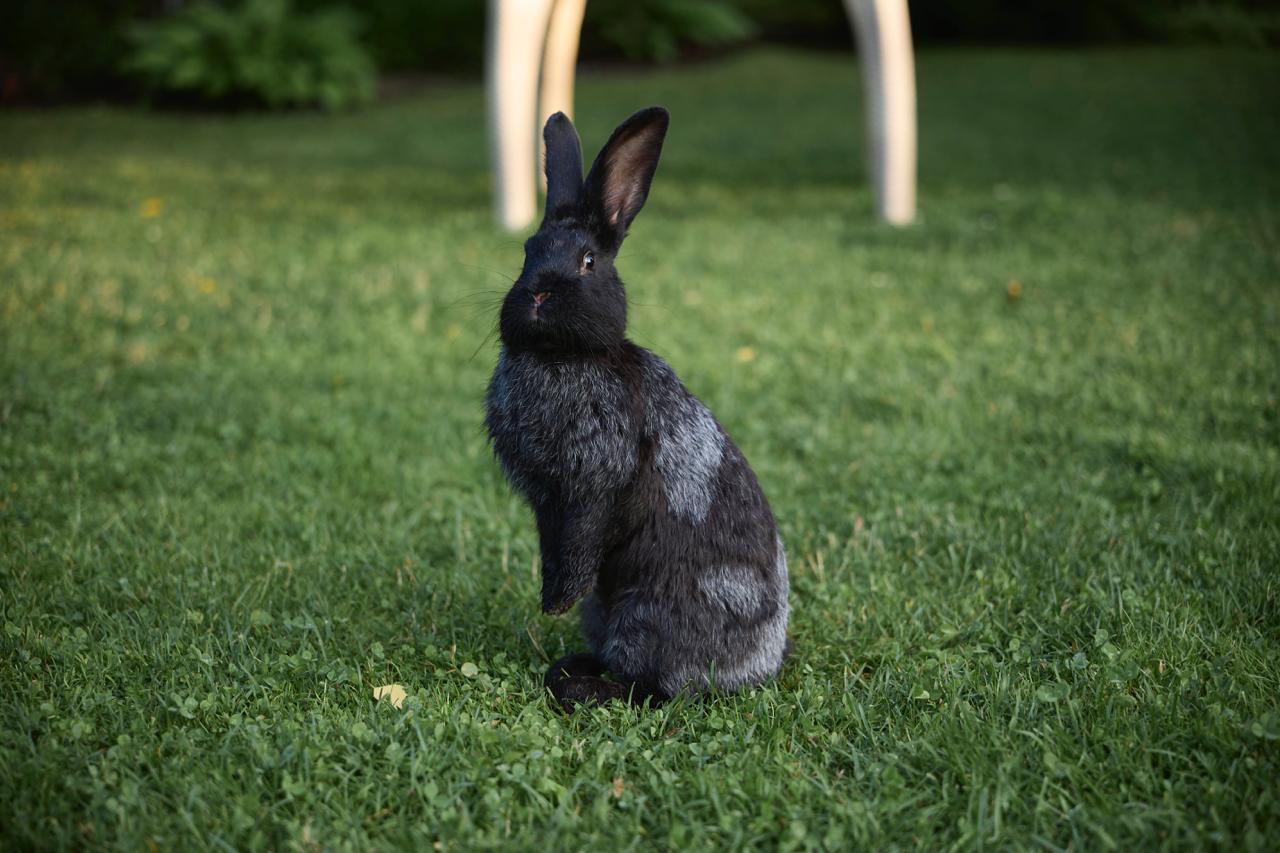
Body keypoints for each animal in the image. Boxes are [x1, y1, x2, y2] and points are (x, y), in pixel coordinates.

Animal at [485, 106, 789, 711]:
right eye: (526, 252)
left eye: (588, 261)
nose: (537, 293)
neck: (563, 356)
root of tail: (759, 664)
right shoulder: (548, 501)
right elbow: (555, 545)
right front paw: (550, 598)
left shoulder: (593, 480)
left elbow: (582, 538)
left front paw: (556, 602)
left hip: (645, 613)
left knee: (652, 686)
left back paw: (577, 684)